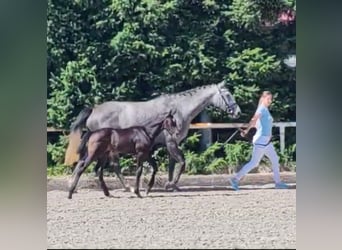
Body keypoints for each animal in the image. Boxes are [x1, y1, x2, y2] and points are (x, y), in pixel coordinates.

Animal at [65, 81, 240, 190]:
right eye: (228, 95)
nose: (237, 112)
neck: (178, 111)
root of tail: (93, 110)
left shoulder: (171, 144)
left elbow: (172, 165)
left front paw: (172, 185)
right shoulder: (171, 142)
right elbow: (182, 162)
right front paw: (170, 185)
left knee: (85, 163)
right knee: (111, 166)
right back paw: (127, 187)